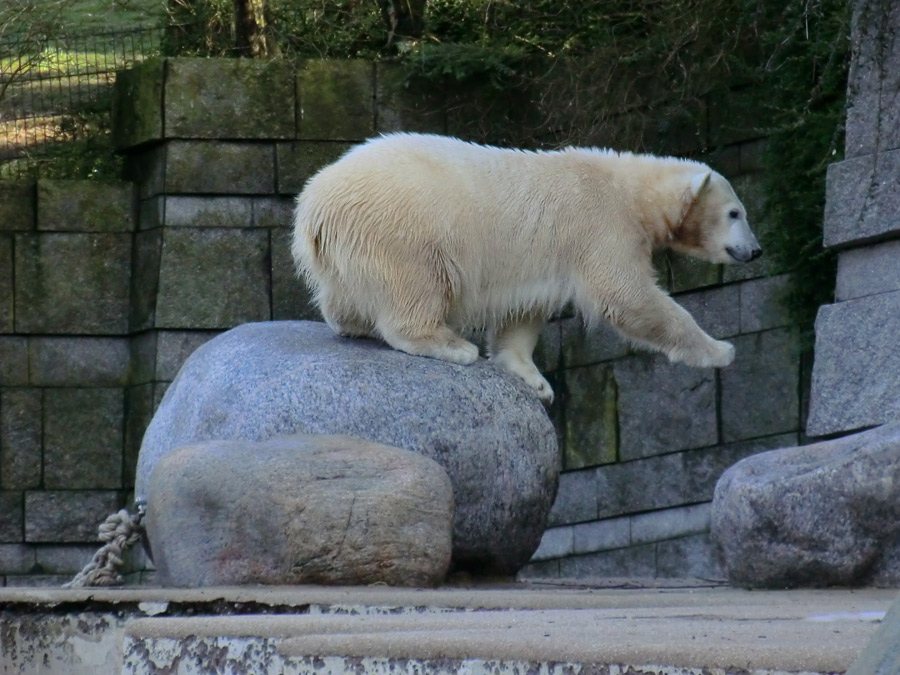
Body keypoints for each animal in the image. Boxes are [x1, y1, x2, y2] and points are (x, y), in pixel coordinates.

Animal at [294, 135, 760, 404]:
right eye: (735, 212)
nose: (755, 250)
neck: (629, 189)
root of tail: (313, 202)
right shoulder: (600, 224)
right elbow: (627, 297)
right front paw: (721, 350)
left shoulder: (541, 257)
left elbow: (522, 312)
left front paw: (534, 382)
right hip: (402, 226)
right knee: (416, 283)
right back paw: (448, 344)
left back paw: (356, 324)